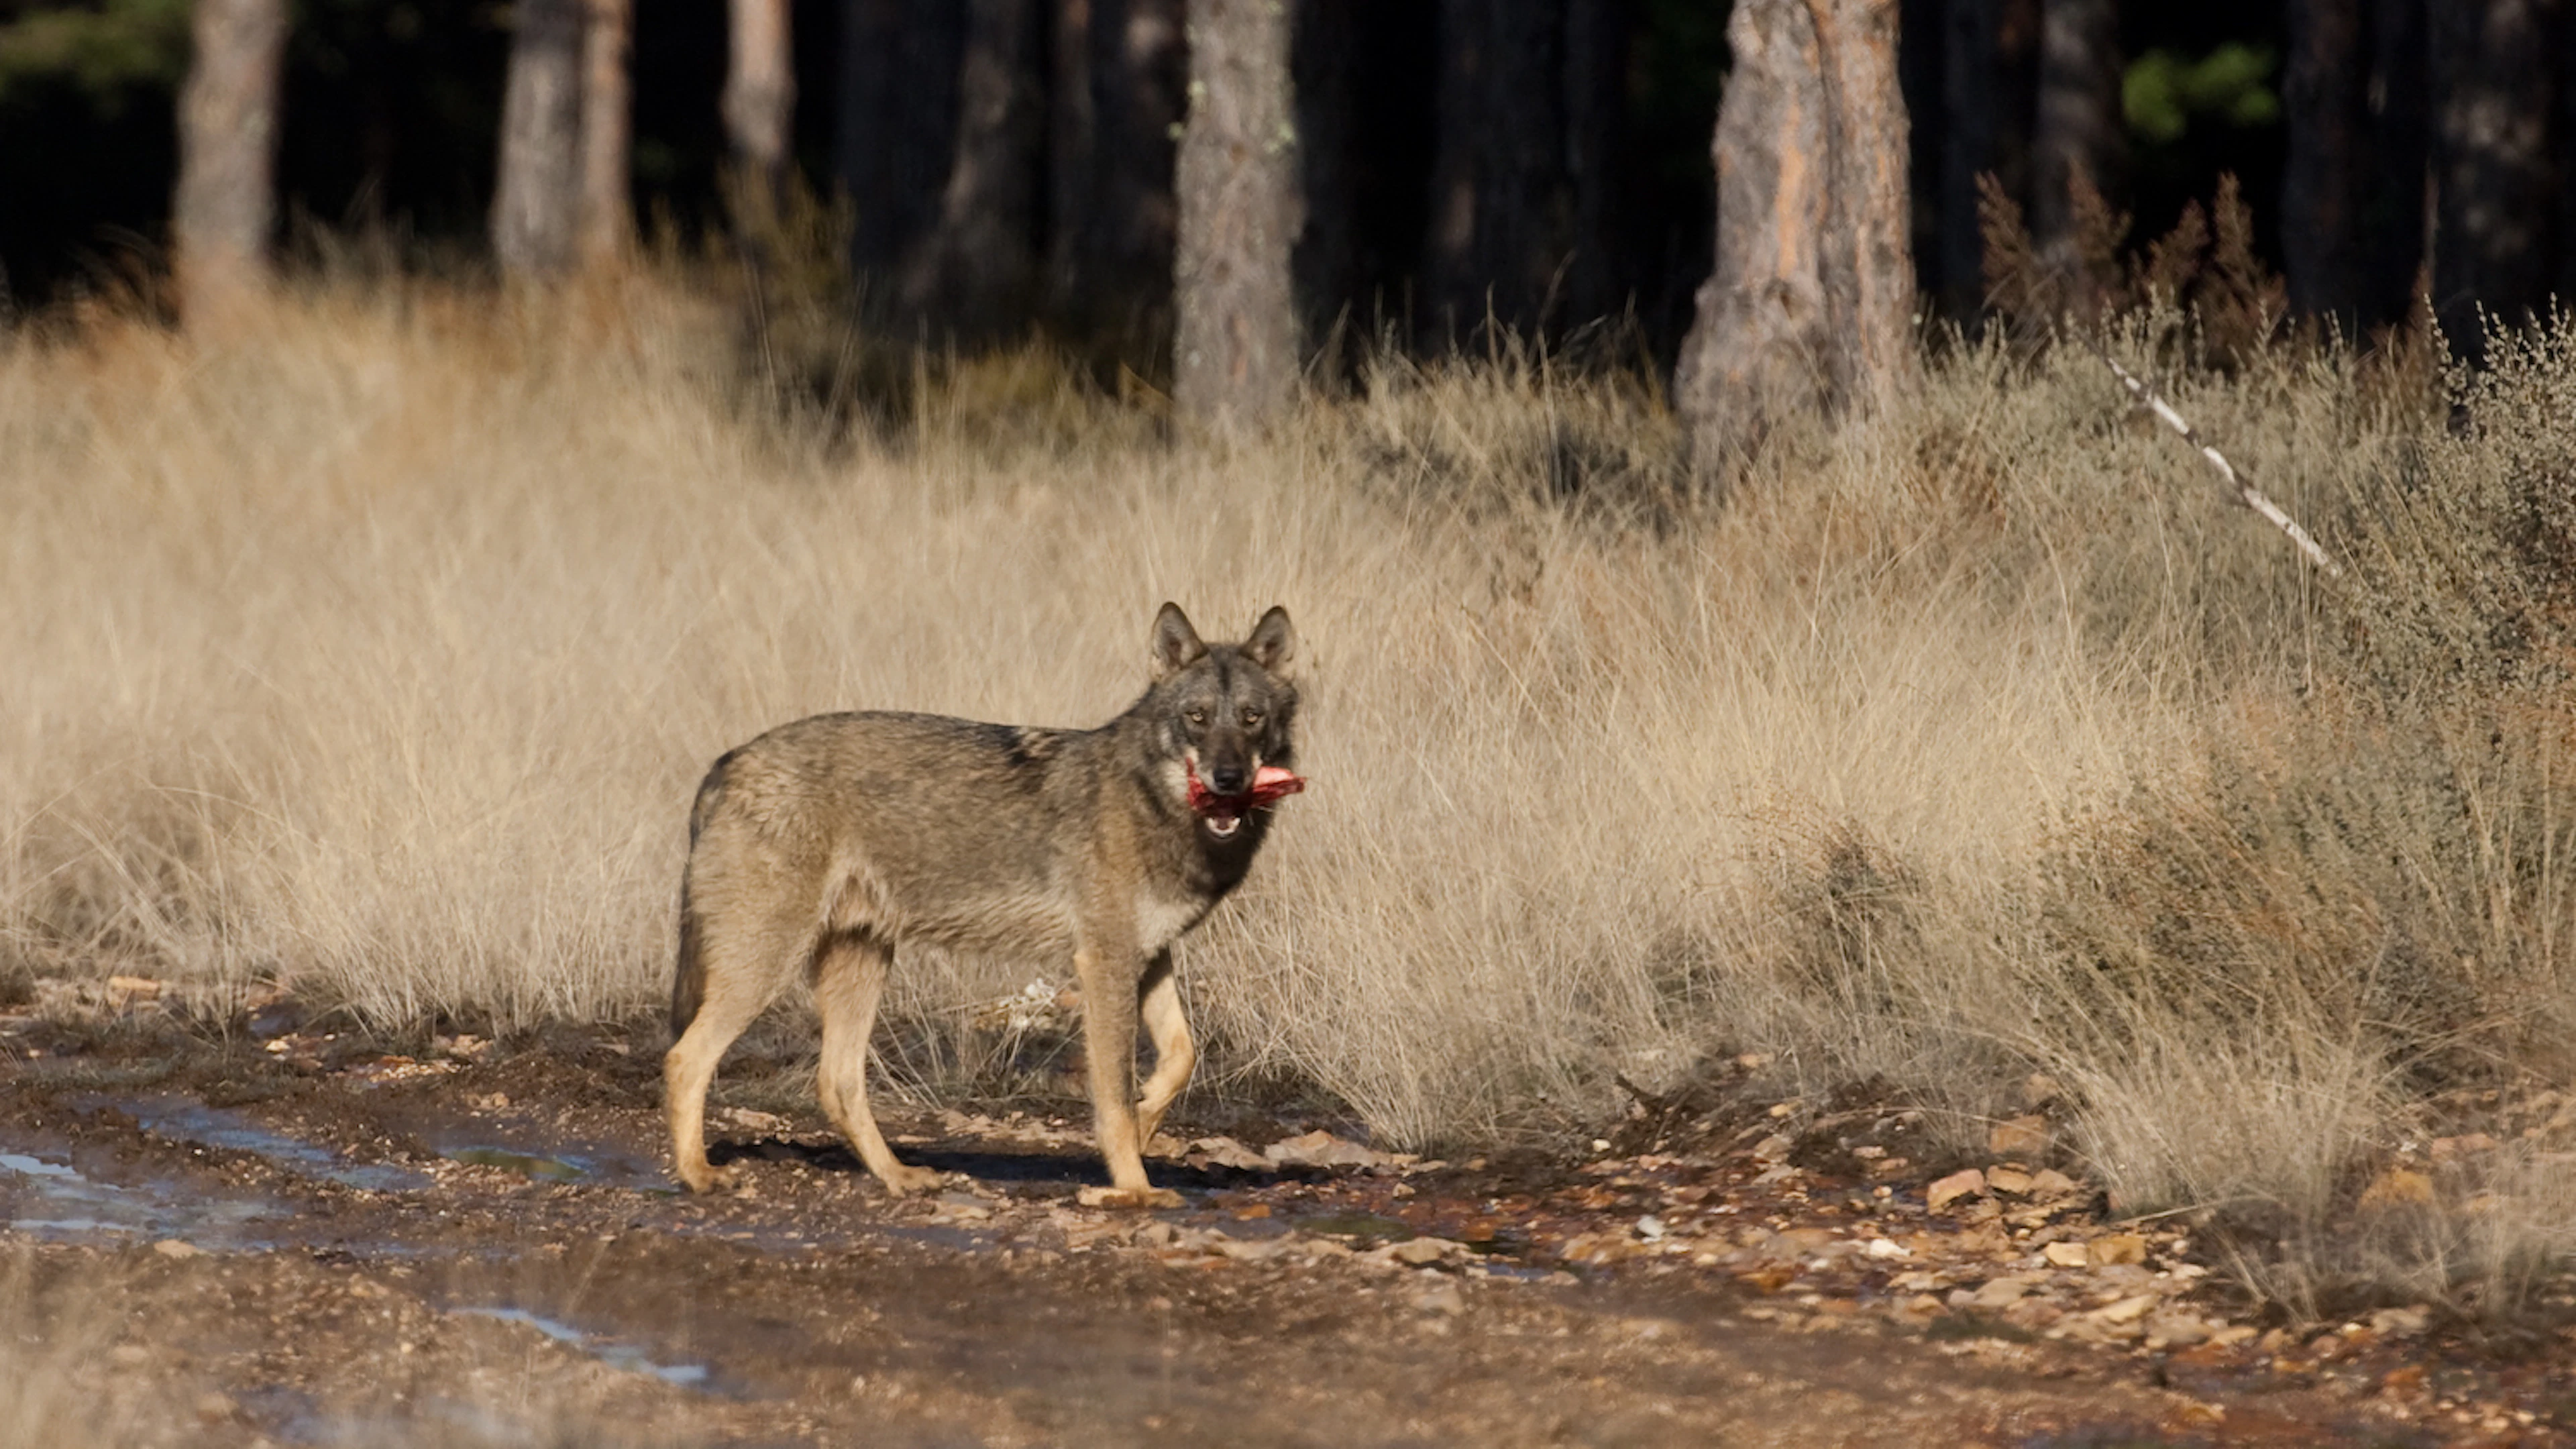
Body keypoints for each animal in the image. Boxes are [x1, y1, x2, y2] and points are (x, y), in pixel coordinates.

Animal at [664, 603, 1302, 1208]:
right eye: (1197, 717)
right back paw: (698, 1175)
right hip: (766, 968)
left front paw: (1147, 1125)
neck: (1156, 804)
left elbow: (1179, 1057)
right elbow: (1114, 1094)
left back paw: (898, 1177)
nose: (1228, 778)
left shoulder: (1147, 956)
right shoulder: (1105, 962)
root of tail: (728, 761)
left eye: (1252, 717)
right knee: (685, 1059)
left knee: (835, 1083)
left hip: (861, 964)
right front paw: (1136, 1188)